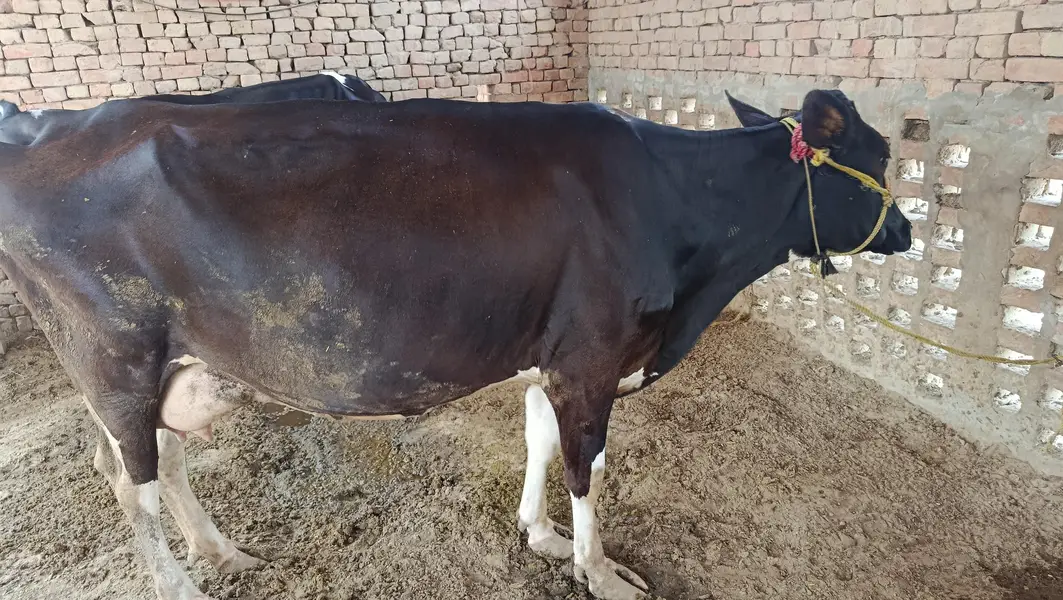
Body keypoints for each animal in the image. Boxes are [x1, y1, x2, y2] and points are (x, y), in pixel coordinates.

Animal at [0, 88, 911, 600]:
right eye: (877, 157)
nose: (904, 231)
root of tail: (46, 127)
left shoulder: (550, 356)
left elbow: (539, 443)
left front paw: (539, 537)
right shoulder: (593, 357)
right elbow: (587, 468)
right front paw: (599, 573)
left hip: (168, 367)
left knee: (155, 462)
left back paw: (223, 553)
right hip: (114, 359)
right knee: (134, 484)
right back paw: (181, 585)